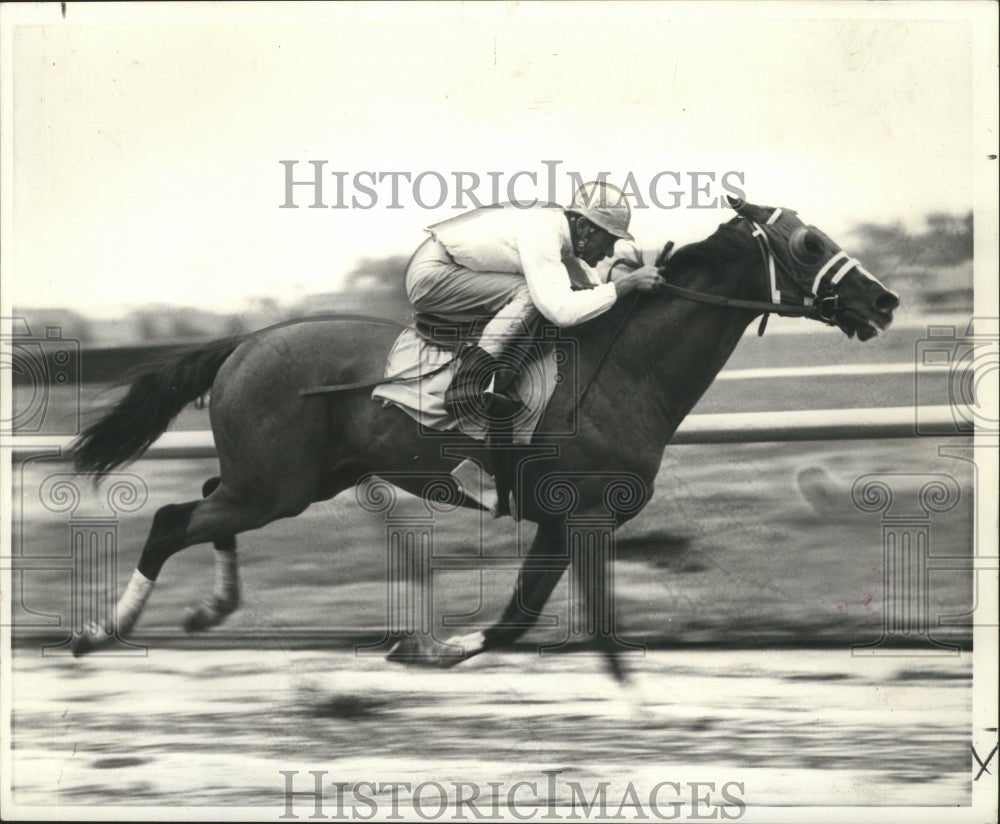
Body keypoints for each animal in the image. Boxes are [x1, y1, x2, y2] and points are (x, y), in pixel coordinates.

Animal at [70, 200, 900, 676]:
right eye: (806, 242)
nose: (885, 302)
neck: (624, 365)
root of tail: (245, 341)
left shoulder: (566, 522)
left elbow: (518, 617)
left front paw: (428, 644)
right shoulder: (584, 515)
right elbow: (531, 621)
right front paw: (431, 645)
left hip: (295, 479)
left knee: (203, 501)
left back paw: (209, 609)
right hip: (274, 484)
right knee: (171, 519)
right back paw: (102, 630)